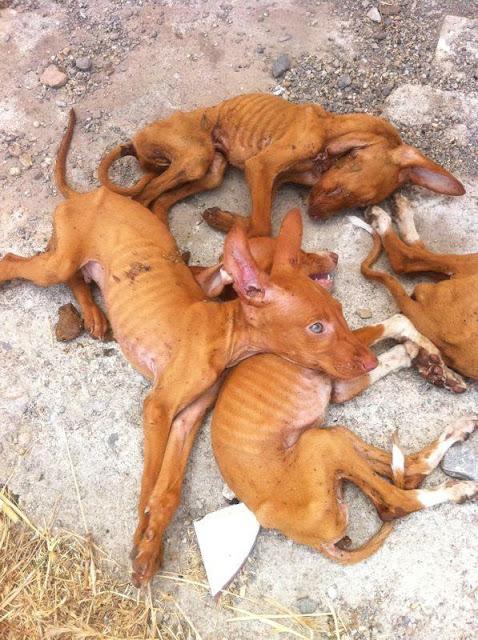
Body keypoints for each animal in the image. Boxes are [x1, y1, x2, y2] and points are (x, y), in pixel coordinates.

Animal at [0, 111, 382, 592]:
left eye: (339, 312)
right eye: (316, 327)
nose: (370, 361)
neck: (223, 333)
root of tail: (91, 194)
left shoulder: (189, 416)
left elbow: (169, 489)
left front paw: (152, 545)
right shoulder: (158, 406)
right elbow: (148, 483)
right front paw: (141, 538)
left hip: (75, 259)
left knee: (75, 274)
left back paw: (92, 312)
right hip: (57, 261)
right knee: (13, 262)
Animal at [96, 92, 464, 235]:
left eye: (361, 205)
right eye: (342, 187)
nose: (314, 216)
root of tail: (135, 143)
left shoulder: (274, 178)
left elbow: (261, 222)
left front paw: (224, 219)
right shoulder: (261, 166)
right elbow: (262, 225)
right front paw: (225, 220)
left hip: (212, 169)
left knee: (158, 201)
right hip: (194, 158)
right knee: (143, 197)